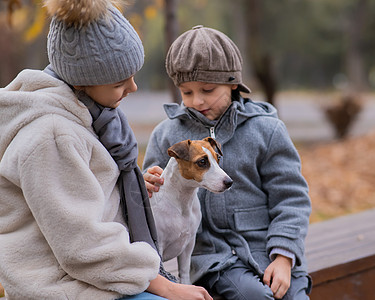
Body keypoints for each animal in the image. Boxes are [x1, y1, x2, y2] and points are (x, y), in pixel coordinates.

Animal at [149, 137, 232, 282]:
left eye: (218, 158)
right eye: (202, 161)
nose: (229, 182)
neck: (182, 202)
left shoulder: (188, 245)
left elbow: (184, 272)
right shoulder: (159, 245)